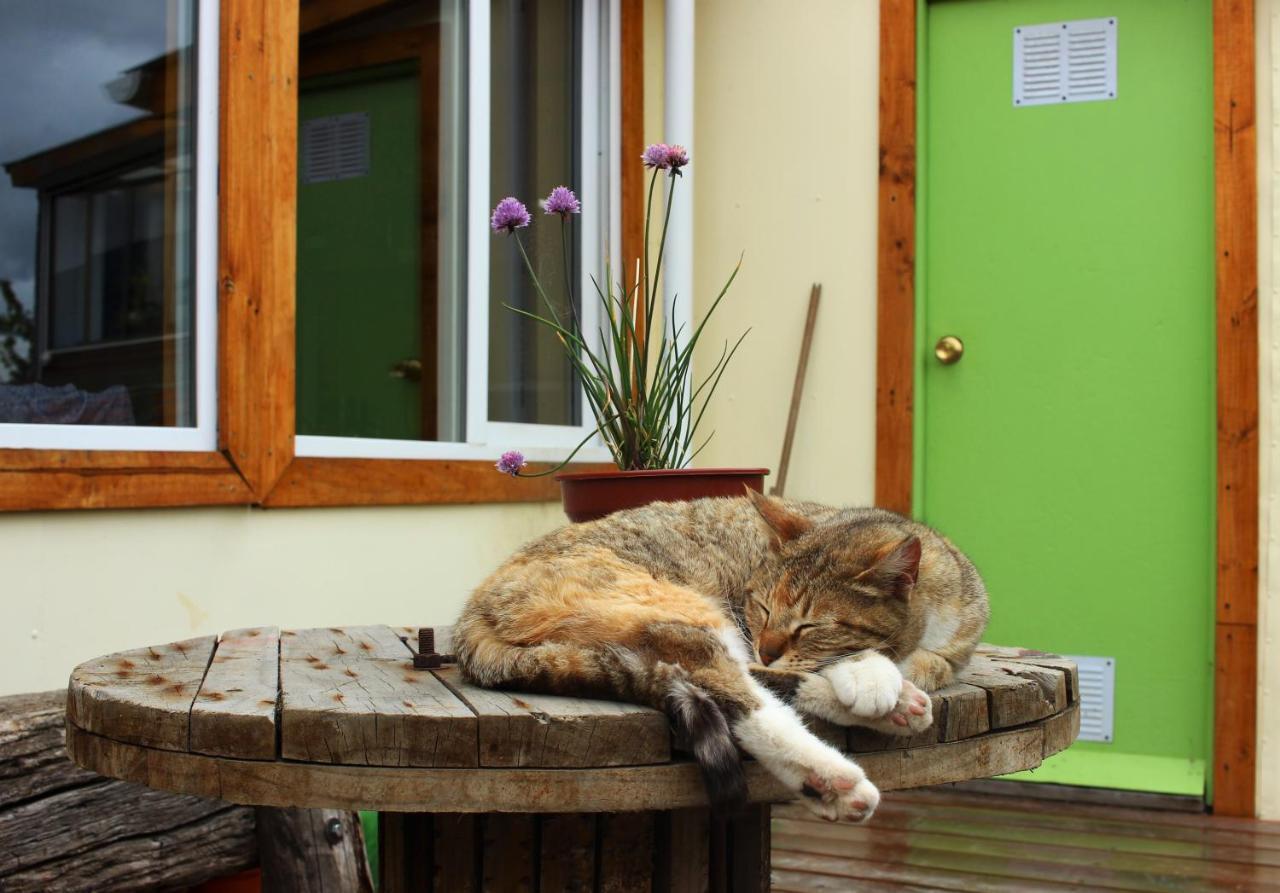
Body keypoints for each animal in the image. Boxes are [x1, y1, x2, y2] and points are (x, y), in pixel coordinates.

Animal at [453, 486, 988, 818]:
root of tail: (472, 611)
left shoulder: (954, 645)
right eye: (762, 607)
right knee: (730, 687)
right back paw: (831, 775)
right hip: (679, 607)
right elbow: (867, 657)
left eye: (809, 624)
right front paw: (872, 676)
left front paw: (890, 679)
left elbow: (925, 662)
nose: (769, 648)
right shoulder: (746, 624)